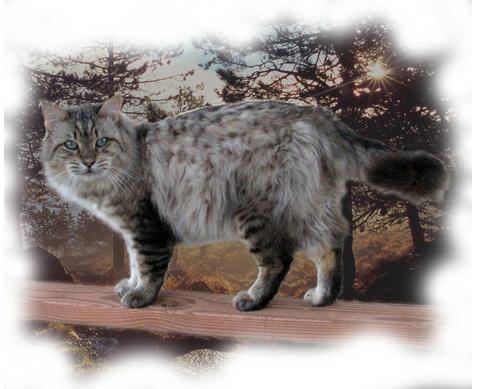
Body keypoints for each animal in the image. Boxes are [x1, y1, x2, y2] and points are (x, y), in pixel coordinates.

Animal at [39, 95, 448, 310]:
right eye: (71, 144)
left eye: (101, 142)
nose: (88, 161)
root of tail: (316, 113)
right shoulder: (130, 230)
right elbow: (136, 263)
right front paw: (130, 285)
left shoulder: (146, 226)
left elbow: (150, 267)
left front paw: (141, 296)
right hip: (313, 206)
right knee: (331, 245)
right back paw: (322, 297)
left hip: (258, 212)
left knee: (280, 260)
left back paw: (253, 299)